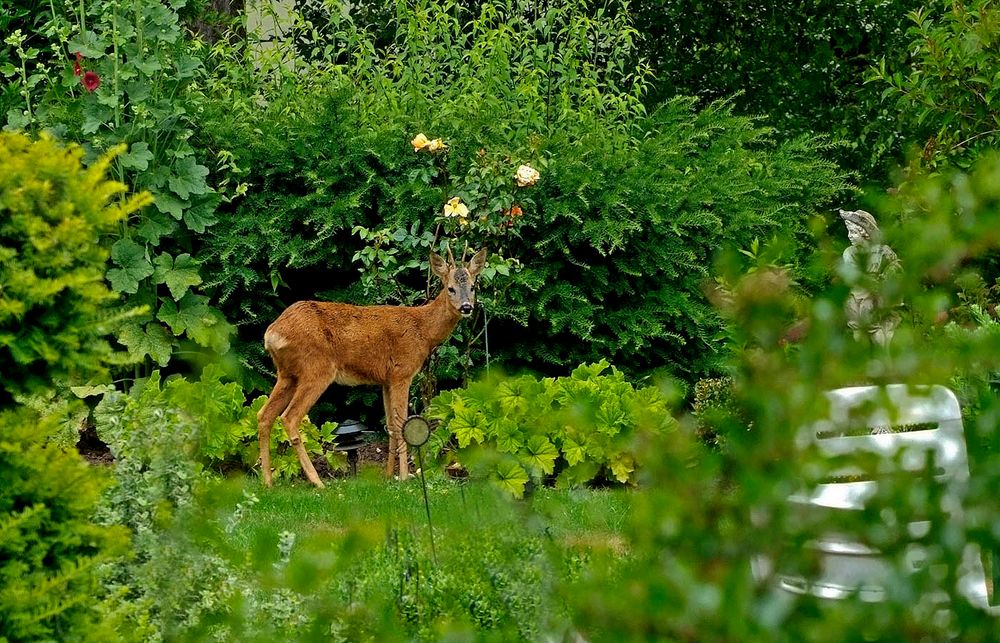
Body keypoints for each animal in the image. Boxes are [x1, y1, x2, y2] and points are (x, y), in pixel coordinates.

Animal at [256, 248, 486, 488]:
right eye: (450, 288)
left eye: (472, 287)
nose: (467, 307)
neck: (423, 331)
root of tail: (272, 334)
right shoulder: (402, 372)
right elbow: (401, 424)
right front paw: (405, 477)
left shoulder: (386, 379)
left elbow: (391, 426)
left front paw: (388, 476)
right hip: (317, 369)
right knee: (289, 417)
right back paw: (317, 481)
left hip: (287, 374)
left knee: (264, 415)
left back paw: (268, 482)